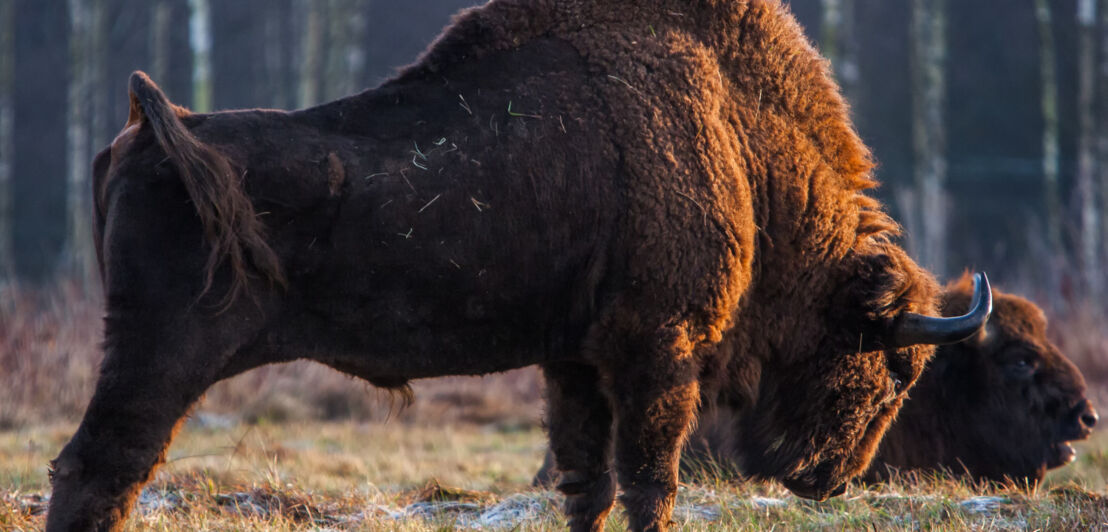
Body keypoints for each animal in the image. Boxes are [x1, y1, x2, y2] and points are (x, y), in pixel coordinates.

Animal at [47, 2, 992, 529]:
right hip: (161, 354)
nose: (830, 480)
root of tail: (154, 131)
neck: (735, 134)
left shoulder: (575, 362)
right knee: (100, 468)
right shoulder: (659, 351)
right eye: (899, 365)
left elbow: (586, 485)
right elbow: (648, 483)